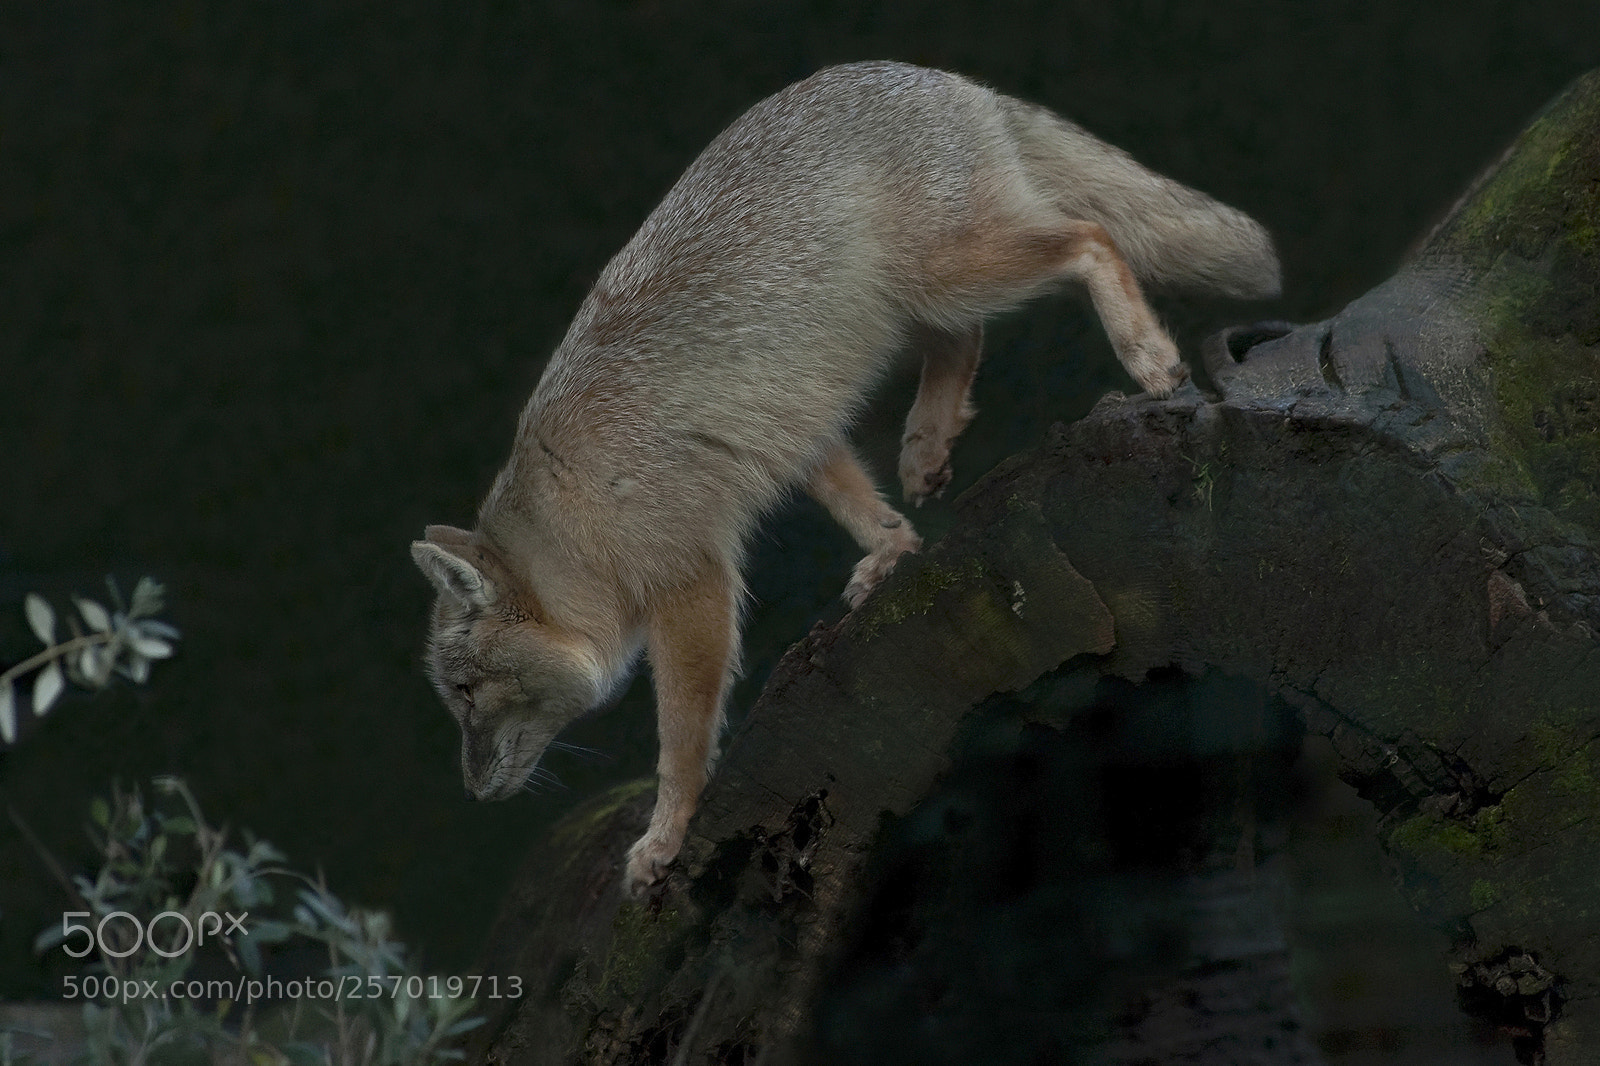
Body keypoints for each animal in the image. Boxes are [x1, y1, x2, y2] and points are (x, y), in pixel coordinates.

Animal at [411, 61, 1281, 896]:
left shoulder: (692, 583)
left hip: (950, 271)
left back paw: (1147, 357)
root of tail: (939, 76)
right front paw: (893, 549)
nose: (472, 792)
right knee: (966, 340)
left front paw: (669, 829)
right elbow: (858, 501)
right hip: (922, 298)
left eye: (466, 696)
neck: (575, 508)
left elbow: (680, 736)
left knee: (1087, 239)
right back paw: (927, 444)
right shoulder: (789, 435)